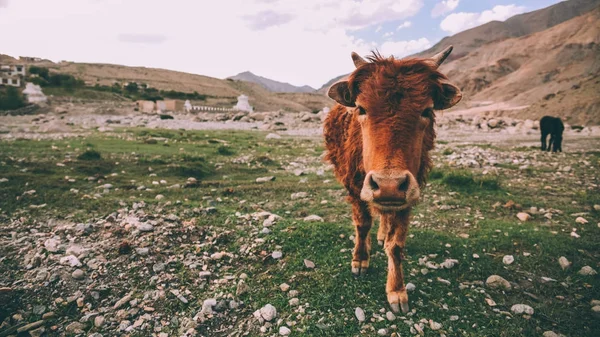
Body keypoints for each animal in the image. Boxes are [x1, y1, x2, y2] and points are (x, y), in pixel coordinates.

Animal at [324, 46, 460, 312]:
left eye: (426, 110)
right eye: (361, 108)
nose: (388, 185)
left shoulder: (409, 192)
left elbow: (396, 244)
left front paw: (397, 291)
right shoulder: (354, 186)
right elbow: (362, 224)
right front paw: (360, 260)